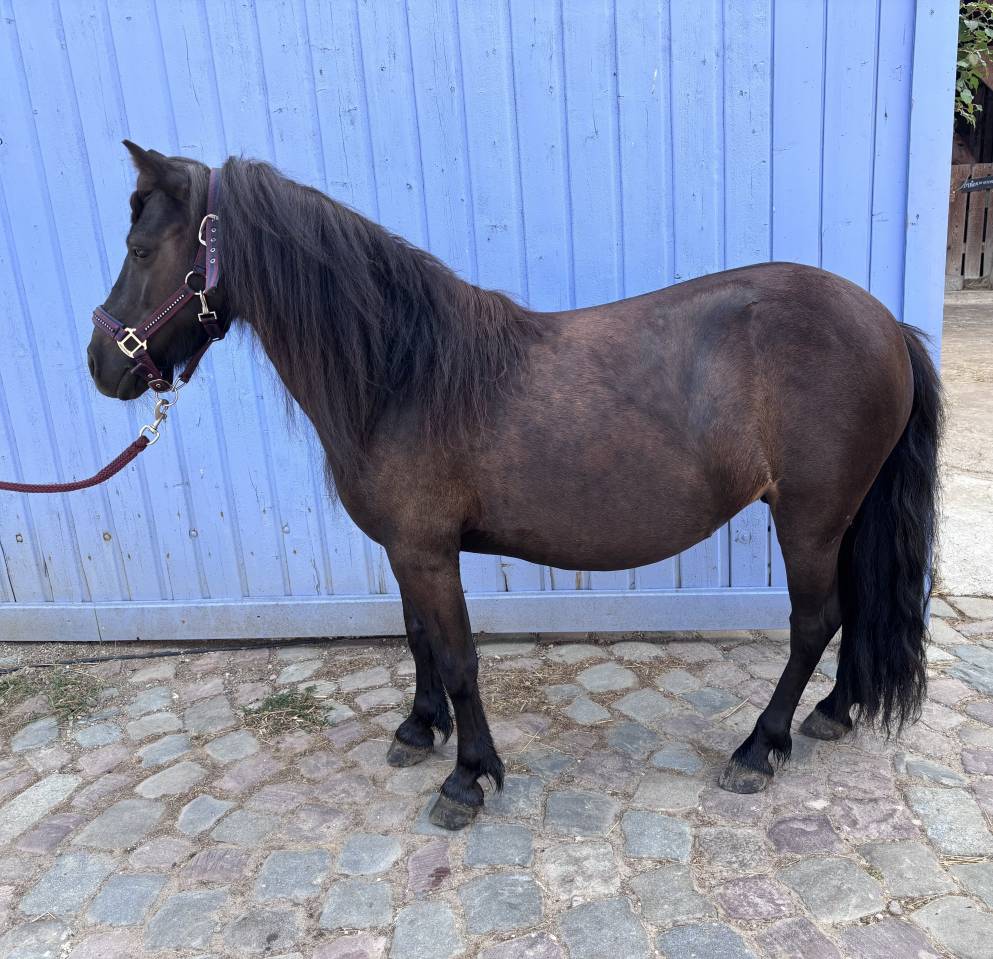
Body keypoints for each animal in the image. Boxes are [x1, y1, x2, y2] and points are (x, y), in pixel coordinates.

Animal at [86, 141, 942, 830]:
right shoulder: (408, 550)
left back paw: (758, 748)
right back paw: (833, 712)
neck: (405, 374)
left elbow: (459, 657)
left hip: (809, 517)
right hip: (841, 517)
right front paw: (416, 730)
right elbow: (418, 638)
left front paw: (466, 778)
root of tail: (886, 324)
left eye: (140, 247)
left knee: (813, 622)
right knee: (853, 608)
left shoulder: (428, 551)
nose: (100, 365)